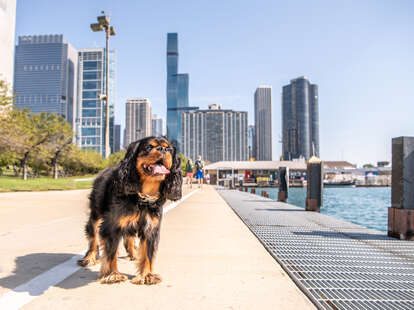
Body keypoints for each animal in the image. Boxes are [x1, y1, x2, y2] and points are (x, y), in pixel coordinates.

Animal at [77, 137, 181, 284]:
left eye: (169, 149)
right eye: (149, 147)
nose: (163, 149)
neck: (143, 195)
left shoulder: (151, 228)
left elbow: (148, 253)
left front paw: (147, 275)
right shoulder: (112, 226)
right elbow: (111, 252)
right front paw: (113, 274)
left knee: (129, 237)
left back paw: (133, 254)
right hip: (96, 215)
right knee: (93, 237)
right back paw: (89, 258)